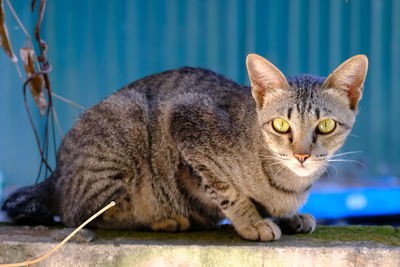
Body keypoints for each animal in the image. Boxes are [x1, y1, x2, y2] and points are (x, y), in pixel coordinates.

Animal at [1, 54, 368, 243]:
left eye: (325, 126)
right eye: (280, 125)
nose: (301, 155)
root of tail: (54, 177)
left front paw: (289, 216)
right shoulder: (186, 122)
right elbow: (229, 192)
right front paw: (252, 221)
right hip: (128, 120)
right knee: (81, 216)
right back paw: (164, 220)